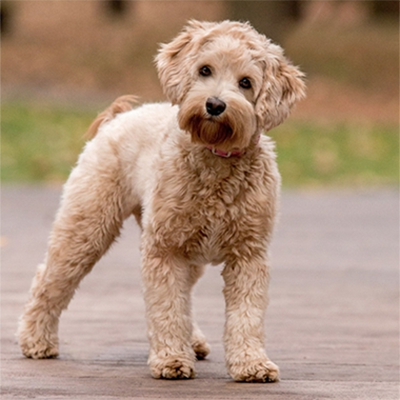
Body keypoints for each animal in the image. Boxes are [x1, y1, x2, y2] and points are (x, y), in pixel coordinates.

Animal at [17, 20, 304, 382]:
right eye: (204, 70)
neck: (215, 157)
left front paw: (251, 363)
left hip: (185, 250)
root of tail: (116, 118)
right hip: (86, 228)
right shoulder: (164, 251)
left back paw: (193, 341)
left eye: (246, 83)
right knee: (50, 281)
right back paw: (36, 340)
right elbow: (167, 306)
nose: (214, 105)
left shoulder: (249, 255)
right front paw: (171, 359)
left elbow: (246, 316)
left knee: (186, 295)